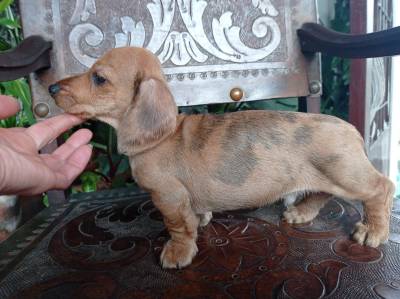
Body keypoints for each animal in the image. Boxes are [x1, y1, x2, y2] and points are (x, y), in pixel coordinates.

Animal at [49, 47, 394, 270]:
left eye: (99, 78)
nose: (51, 87)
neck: (164, 135)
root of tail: (352, 130)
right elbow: (193, 217)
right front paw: (201, 220)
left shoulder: (167, 196)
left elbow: (178, 227)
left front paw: (177, 253)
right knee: (322, 193)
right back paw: (302, 212)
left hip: (348, 175)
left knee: (382, 188)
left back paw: (374, 231)